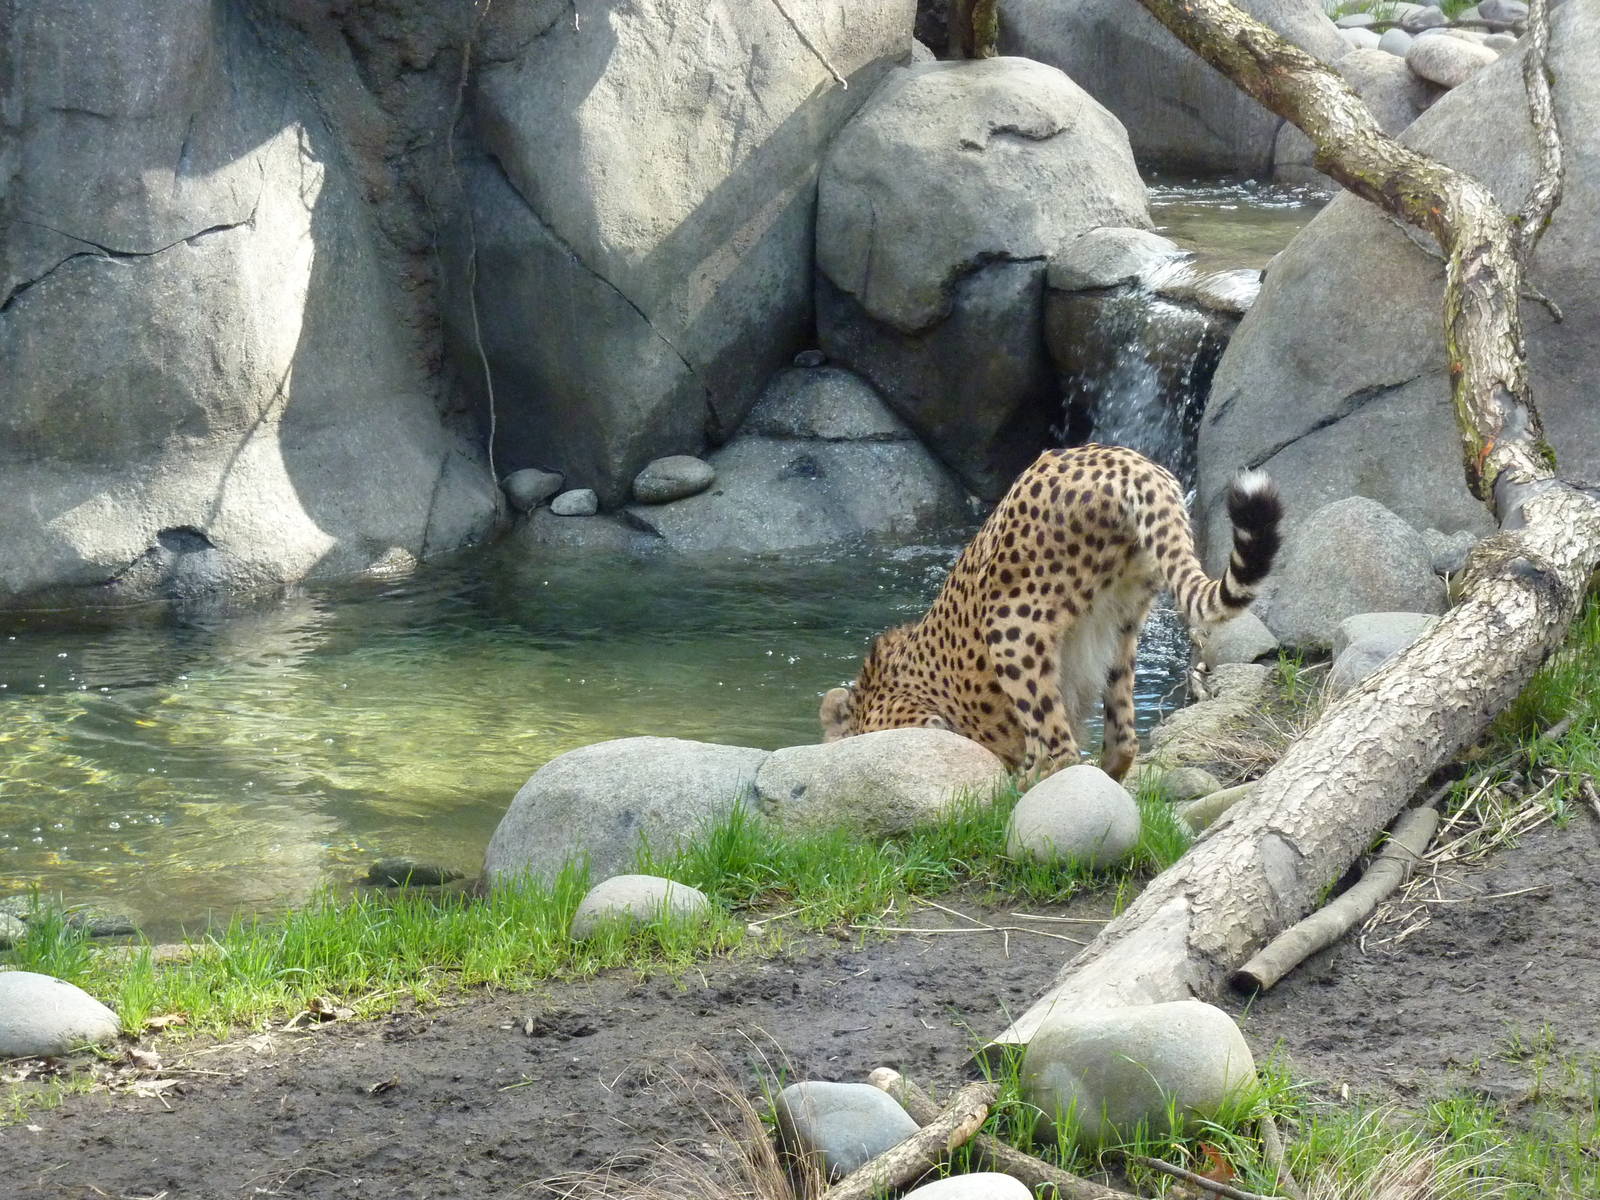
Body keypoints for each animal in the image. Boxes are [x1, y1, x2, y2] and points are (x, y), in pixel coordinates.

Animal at [819, 443, 1281, 782]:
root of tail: (1124, 458)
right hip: (1123, 625)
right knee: (1123, 740)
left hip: (1012, 625)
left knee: (1060, 750)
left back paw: (1020, 793)